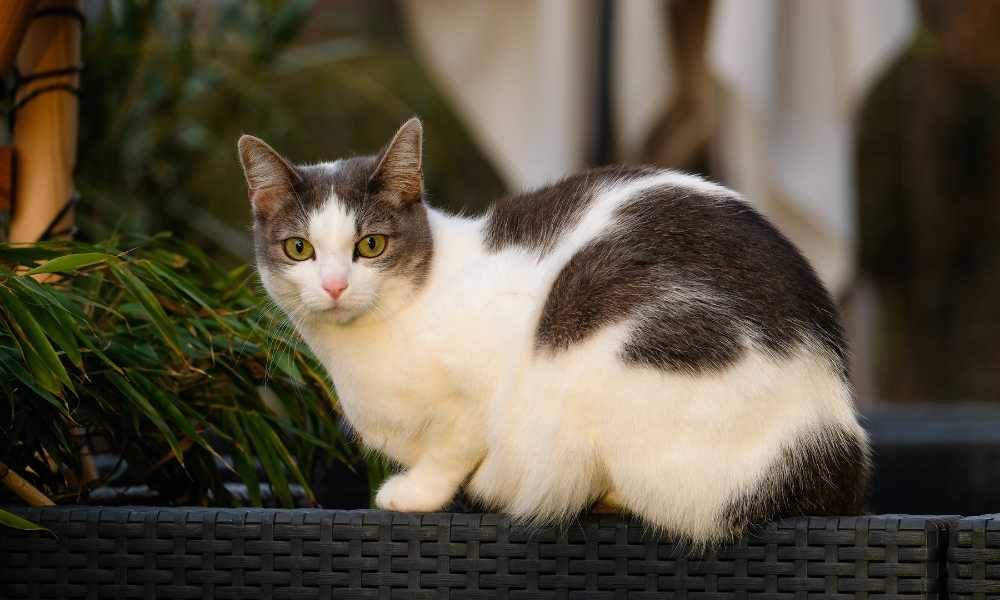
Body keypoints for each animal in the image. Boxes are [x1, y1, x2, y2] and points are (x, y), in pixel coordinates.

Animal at [236, 117, 868, 544]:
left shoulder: (482, 390)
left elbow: (453, 445)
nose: (335, 286)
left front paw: (415, 493)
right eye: (299, 249)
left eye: (370, 245)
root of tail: (831, 435)